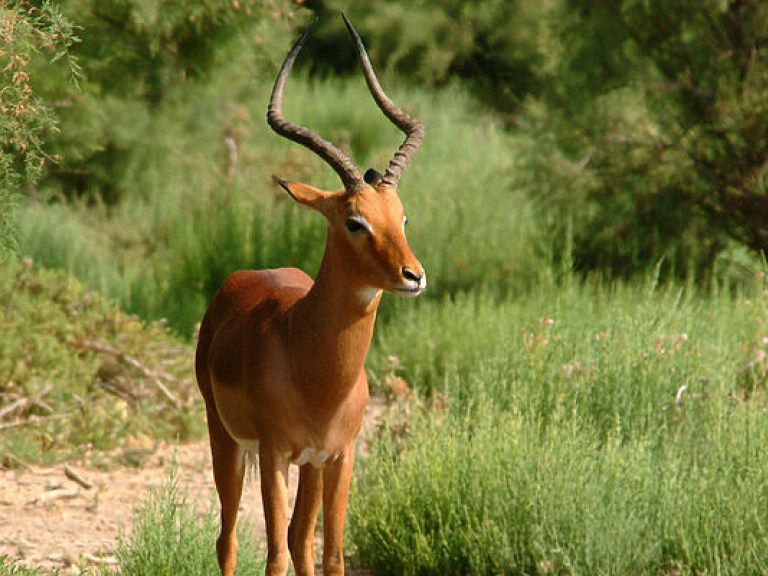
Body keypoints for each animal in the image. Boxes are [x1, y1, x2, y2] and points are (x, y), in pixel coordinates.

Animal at [195, 13, 426, 576]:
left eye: (402, 217)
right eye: (354, 222)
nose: (413, 276)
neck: (314, 368)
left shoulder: (338, 457)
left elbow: (329, 554)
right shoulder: (275, 453)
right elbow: (275, 555)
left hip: (308, 467)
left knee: (301, 541)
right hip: (226, 440)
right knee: (228, 539)